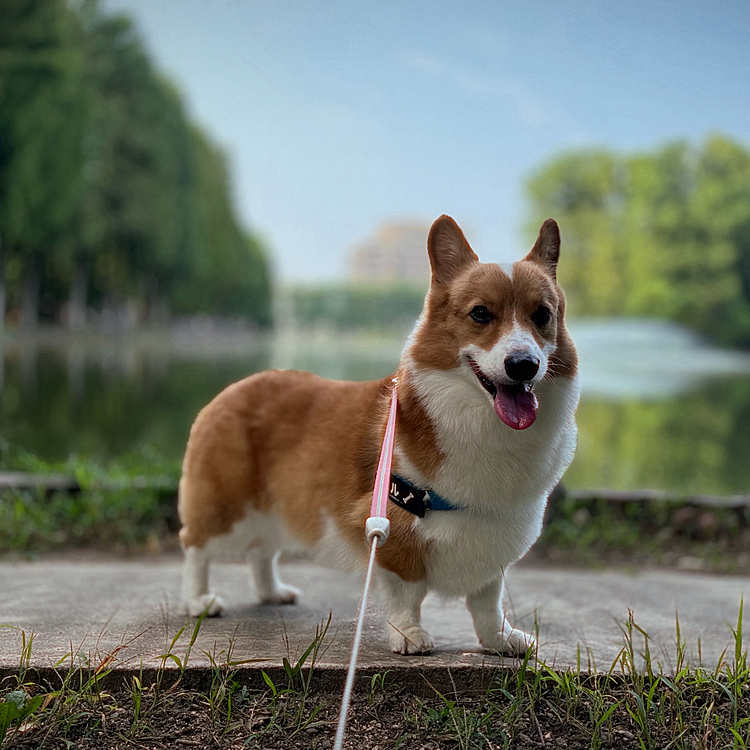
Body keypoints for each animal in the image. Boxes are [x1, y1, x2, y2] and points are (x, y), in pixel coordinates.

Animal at [179, 214, 580, 656]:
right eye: (480, 313)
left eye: (542, 315)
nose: (523, 364)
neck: (479, 420)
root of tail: (234, 387)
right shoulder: (393, 524)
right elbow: (408, 592)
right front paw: (409, 635)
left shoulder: (493, 539)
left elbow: (487, 600)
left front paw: (499, 639)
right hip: (228, 507)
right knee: (196, 545)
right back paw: (199, 600)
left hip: (278, 503)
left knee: (261, 551)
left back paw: (272, 591)